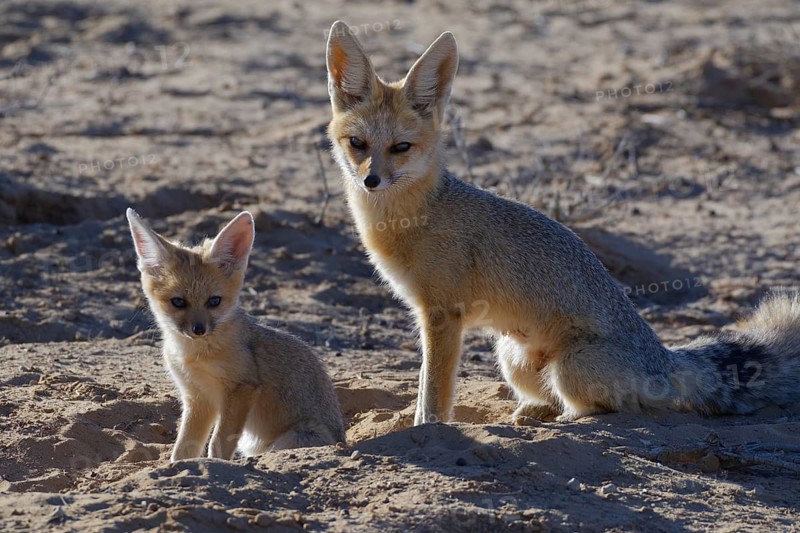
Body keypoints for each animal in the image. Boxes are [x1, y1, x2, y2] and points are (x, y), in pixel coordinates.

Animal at [126, 208, 345, 461]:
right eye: (178, 302)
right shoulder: (197, 398)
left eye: (214, 301)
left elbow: (218, 443)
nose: (199, 329)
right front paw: (178, 465)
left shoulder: (241, 388)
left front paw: (216, 464)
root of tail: (342, 439)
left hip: (287, 440)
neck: (193, 355)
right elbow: (183, 448)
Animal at [324, 20, 800, 426]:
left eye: (401, 148)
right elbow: (427, 384)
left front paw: (428, 430)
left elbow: (434, 392)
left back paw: (565, 420)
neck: (409, 218)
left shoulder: (443, 315)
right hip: (511, 354)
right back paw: (532, 413)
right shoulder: (433, 315)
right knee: (552, 398)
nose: (370, 180)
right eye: (358, 143)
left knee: (612, 409)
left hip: (567, 368)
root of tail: (663, 356)